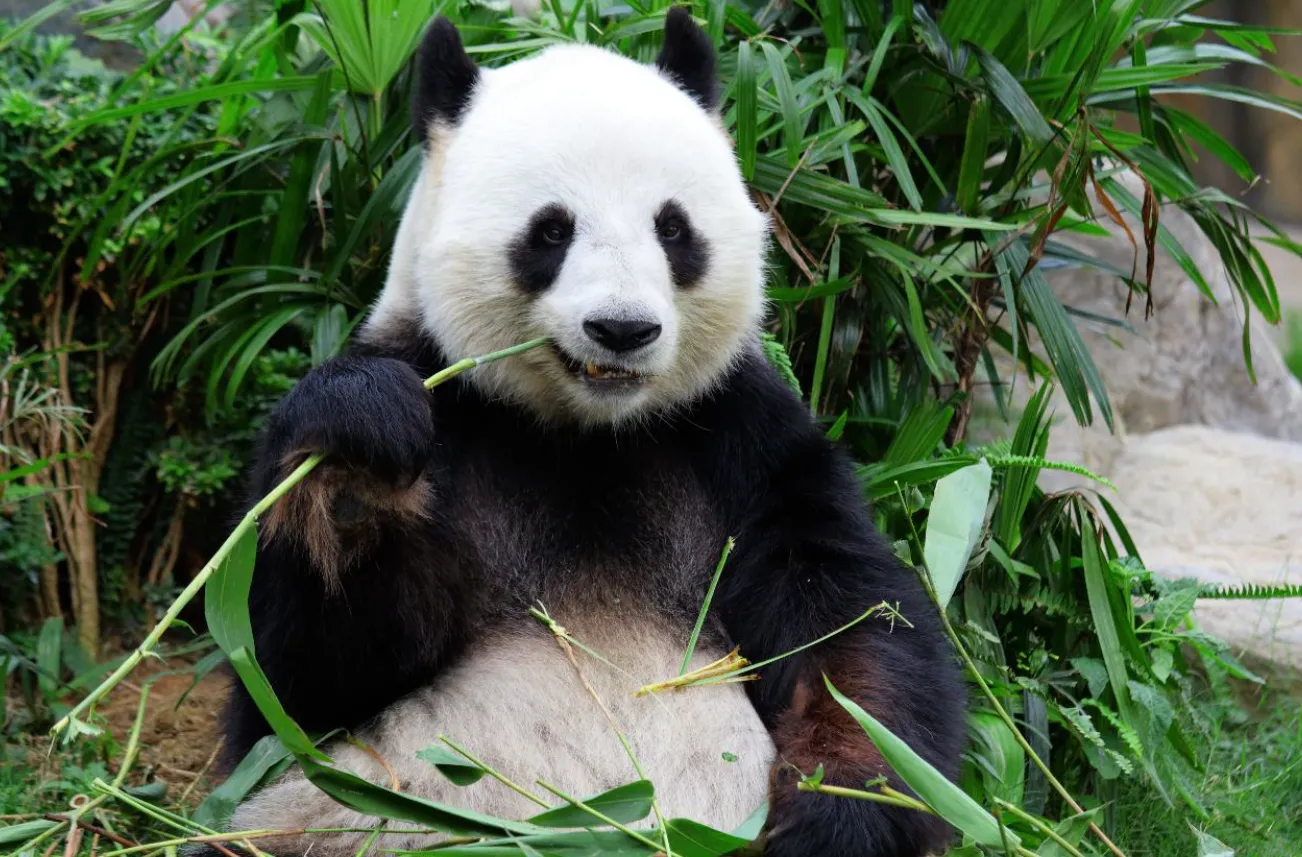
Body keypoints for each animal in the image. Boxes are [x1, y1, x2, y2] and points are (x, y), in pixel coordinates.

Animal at [213, 9, 966, 857]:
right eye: (549, 231)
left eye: (673, 228)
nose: (622, 328)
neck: (585, 433)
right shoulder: (449, 400)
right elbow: (295, 686)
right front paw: (356, 468)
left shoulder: (740, 436)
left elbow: (851, 628)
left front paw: (840, 812)